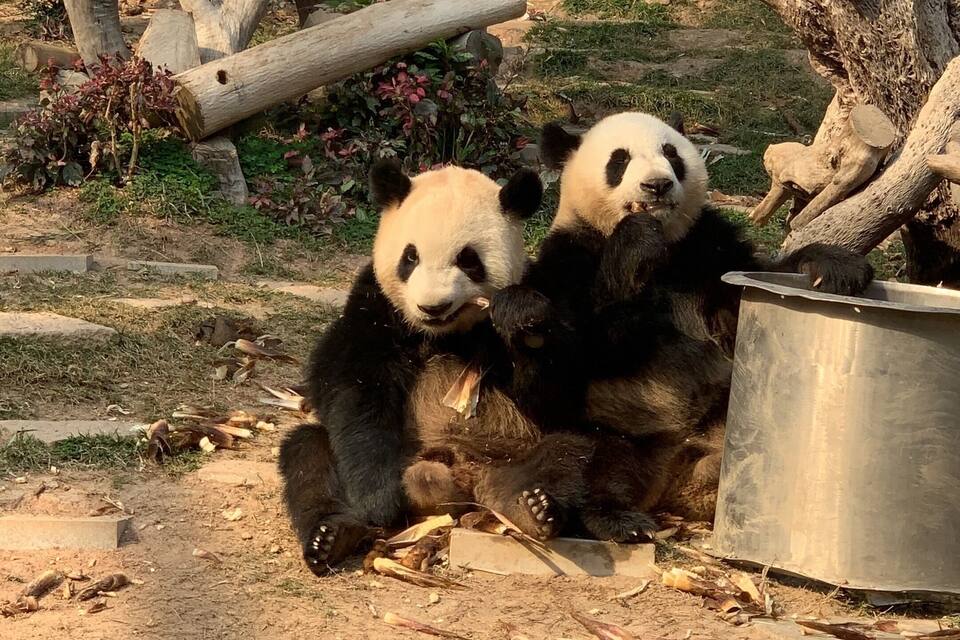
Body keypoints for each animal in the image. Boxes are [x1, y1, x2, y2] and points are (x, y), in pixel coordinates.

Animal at [278, 161, 547, 574]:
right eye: (410, 257)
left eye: (468, 259)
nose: (432, 306)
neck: (441, 334)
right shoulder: (375, 306)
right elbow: (352, 386)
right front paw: (379, 501)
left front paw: (520, 318)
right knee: (308, 453)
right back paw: (333, 536)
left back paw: (528, 508)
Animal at [480, 111, 875, 535]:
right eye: (619, 160)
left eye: (671, 154)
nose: (657, 184)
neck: (664, 252)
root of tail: (677, 475)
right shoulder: (570, 260)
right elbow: (559, 382)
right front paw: (530, 321)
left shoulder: (705, 249)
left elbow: (751, 294)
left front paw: (834, 268)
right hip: (616, 428)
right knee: (579, 455)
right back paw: (582, 514)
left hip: (732, 407)